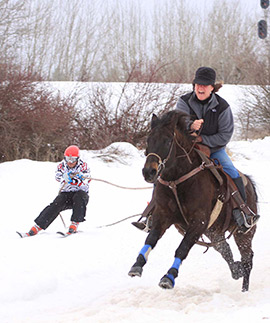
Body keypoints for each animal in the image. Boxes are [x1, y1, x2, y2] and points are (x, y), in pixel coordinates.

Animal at [127, 110, 258, 294]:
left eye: (168, 140)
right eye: (149, 139)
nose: (149, 172)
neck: (177, 181)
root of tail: (250, 184)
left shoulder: (198, 221)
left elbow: (182, 248)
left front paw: (169, 277)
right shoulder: (163, 216)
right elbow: (150, 239)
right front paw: (137, 265)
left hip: (243, 233)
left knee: (247, 259)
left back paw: (244, 290)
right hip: (214, 232)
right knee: (226, 250)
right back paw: (236, 271)